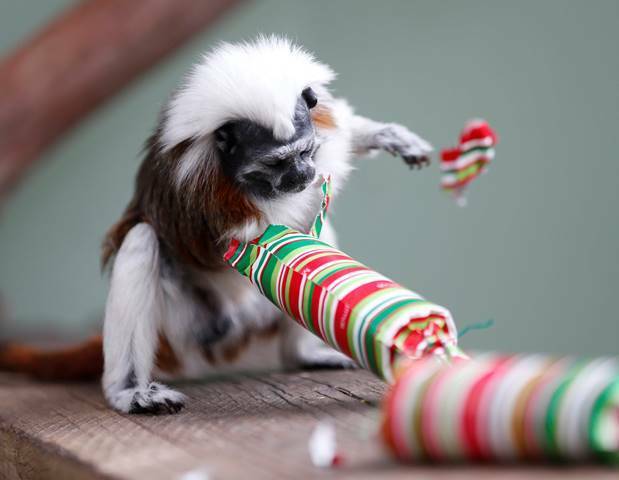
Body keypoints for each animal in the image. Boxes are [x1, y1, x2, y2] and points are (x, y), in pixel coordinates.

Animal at [0, 36, 432, 412]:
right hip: (189, 330)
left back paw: (301, 353)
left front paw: (385, 136)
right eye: (277, 163)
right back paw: (127, 391)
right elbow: (257, 235)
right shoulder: (201, 190)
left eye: (305, 152)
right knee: (141, 240)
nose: (303, 175)